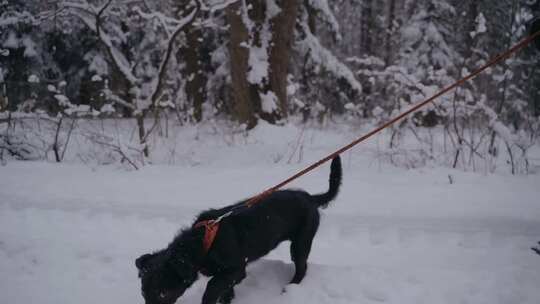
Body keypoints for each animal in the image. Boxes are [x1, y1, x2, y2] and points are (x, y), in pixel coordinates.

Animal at [137, 156, 344, 302]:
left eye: (162, 293)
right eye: (143, 293)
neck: (203, 244)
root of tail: (311, 198)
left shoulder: (236, 269)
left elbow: (212, 287)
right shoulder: (229, 276)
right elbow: (225, 291)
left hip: (301, 242)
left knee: (301, 267)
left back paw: (290, 289)